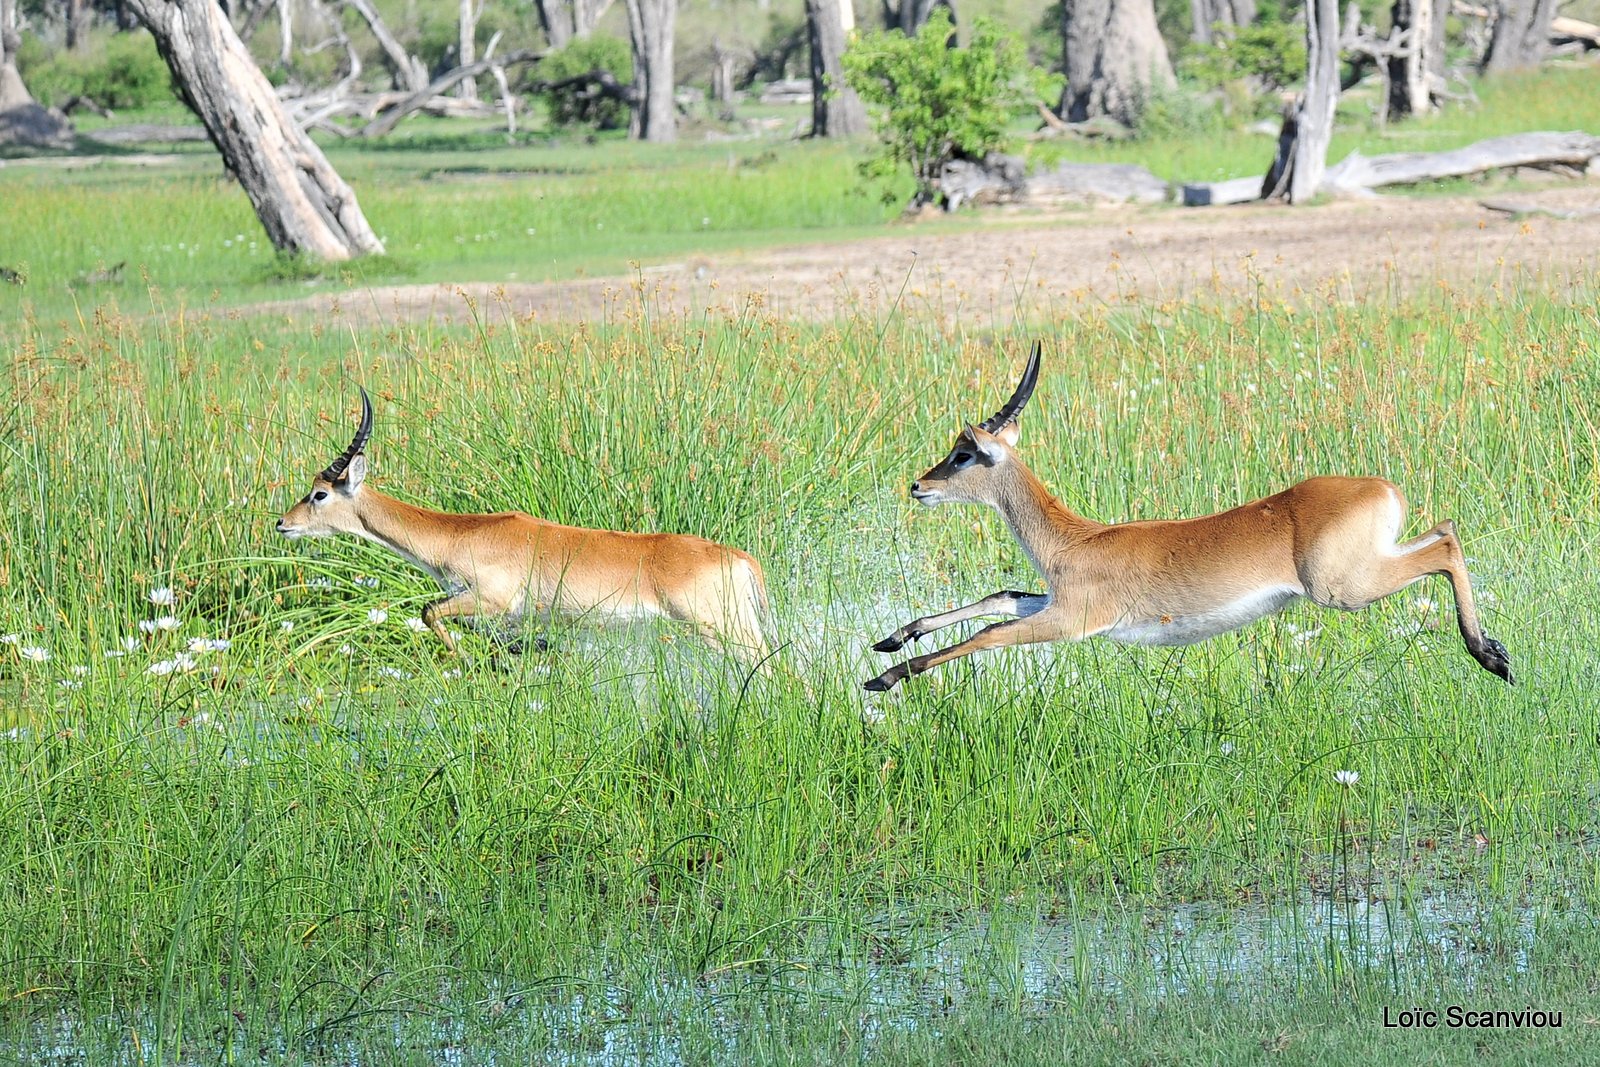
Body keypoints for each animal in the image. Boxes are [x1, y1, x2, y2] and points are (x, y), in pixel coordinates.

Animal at [278, 388, 771, 662]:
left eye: (319, 493)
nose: (283, 523)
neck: (459, 535)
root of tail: (738, 557)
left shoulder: (489, 599)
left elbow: (428, 611)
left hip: (722, 629)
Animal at [864, 342, 1510, 694]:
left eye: (963, 454)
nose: (919, 485)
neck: (1073, 541)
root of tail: (1382, 486)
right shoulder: (1055, 600)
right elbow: (1000, 595)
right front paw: (891, 639)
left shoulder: (1074, 619)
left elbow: (987, 633)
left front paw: (886, 676)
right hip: (1371, 563)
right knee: (1447, 530)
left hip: (1340, 588)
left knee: (1445, 549)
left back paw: (1490, 657)